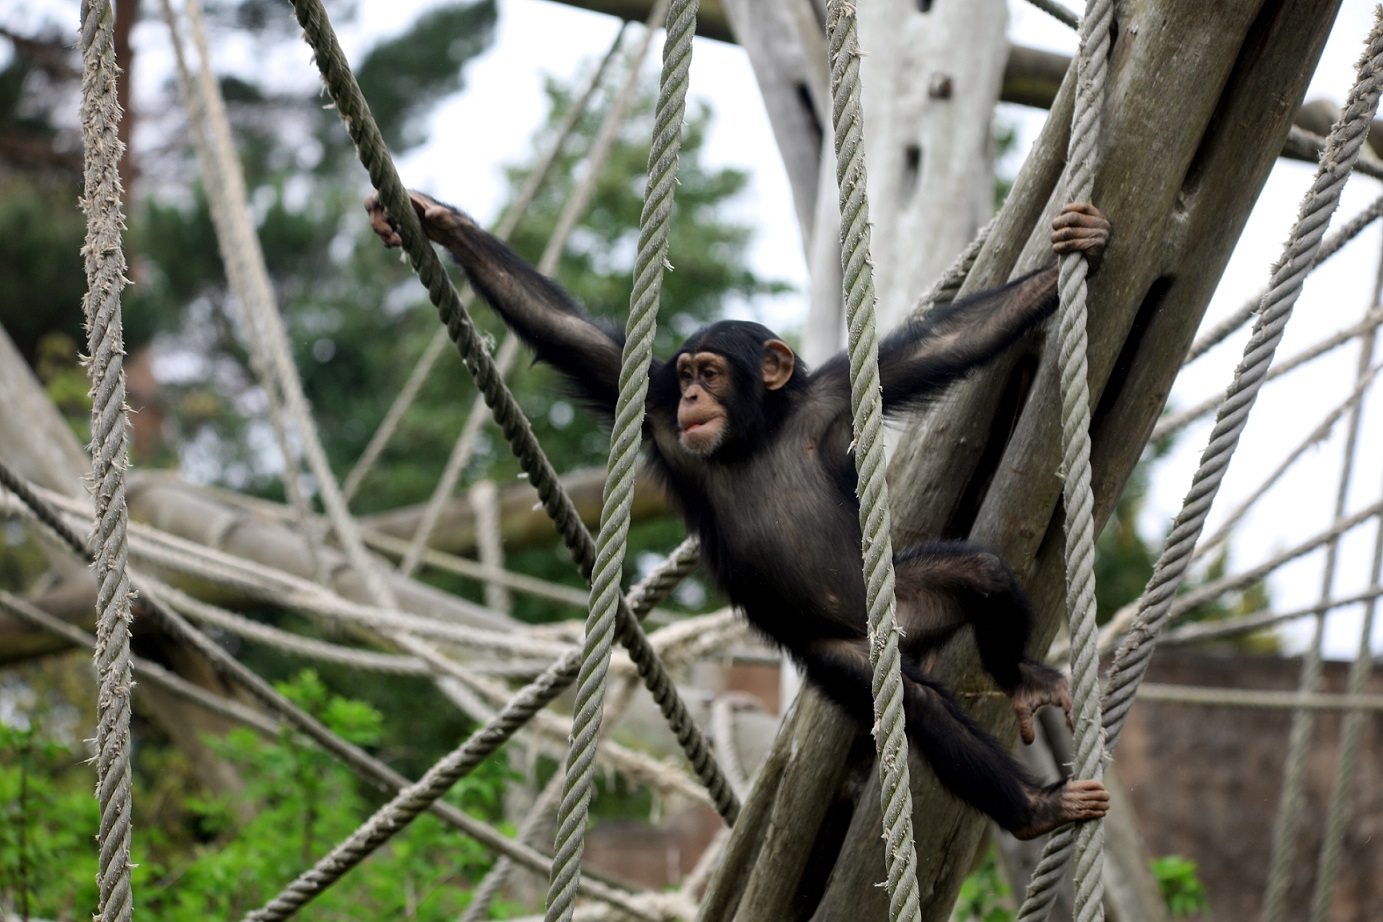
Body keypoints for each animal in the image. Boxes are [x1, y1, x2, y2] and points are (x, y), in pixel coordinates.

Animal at [367, 190, 1111, 839]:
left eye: (712, 372)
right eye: (686, 373)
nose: (695, 395)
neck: (753, 434)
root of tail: (894, 628)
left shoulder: (835, 395)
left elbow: (948, 343)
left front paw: (1077, 251)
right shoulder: (654, 403)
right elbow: (569, 333)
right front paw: (440, 221)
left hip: (907, 595)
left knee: (981, 571)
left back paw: (1023, 684)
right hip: (839, 654)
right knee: (918, 704)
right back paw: (1032, 803)